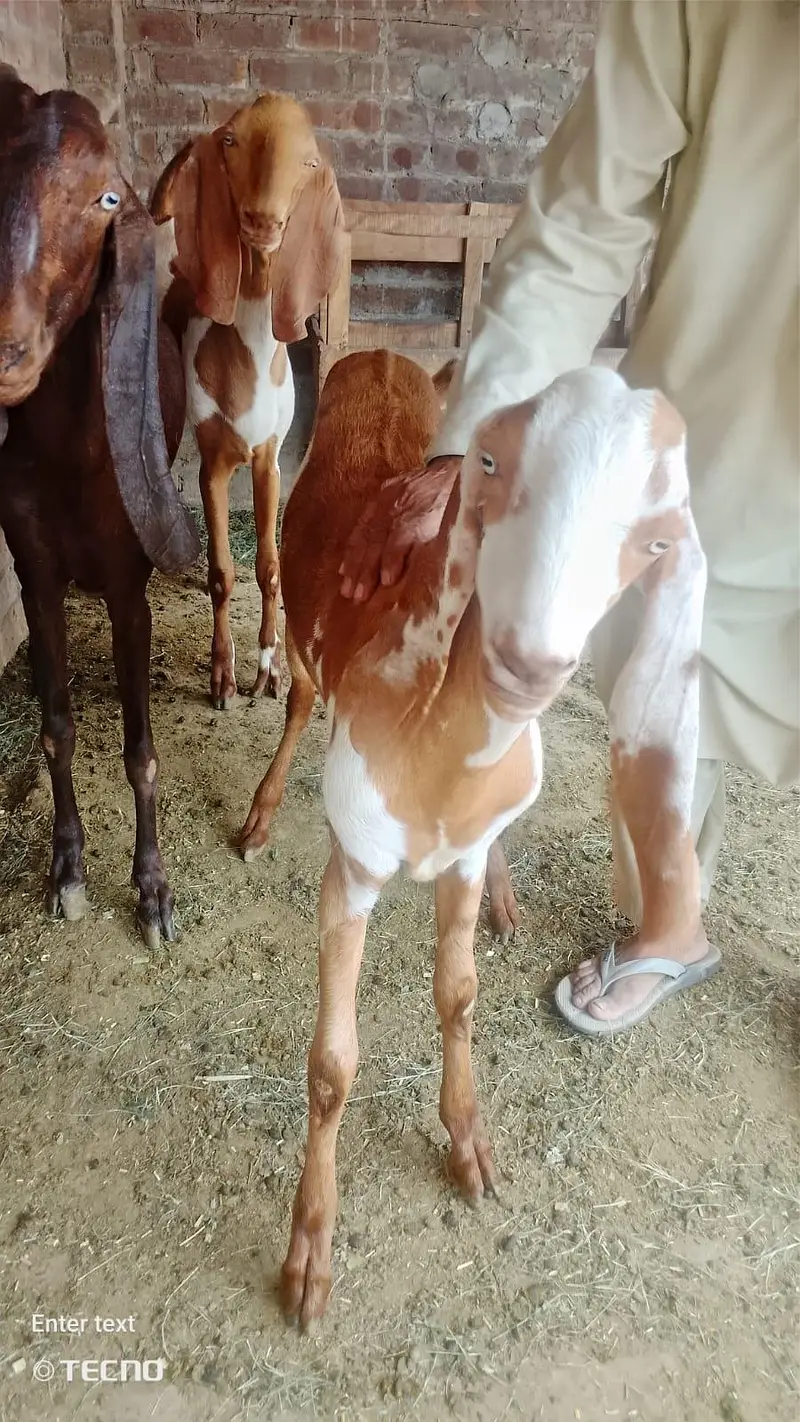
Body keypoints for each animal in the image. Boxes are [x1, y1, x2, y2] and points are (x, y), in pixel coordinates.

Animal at [151, 92, 345, 709]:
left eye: (309, 159)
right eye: (230, 140)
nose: (263, 221)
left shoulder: (269, 459)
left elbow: (269, 566)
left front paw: (270, 668)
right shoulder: (212, 463)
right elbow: (222, 573)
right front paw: (223, 674)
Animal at [248, 350, 706, 1327]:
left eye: (656, 542)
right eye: (491, 465)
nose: (526, 662)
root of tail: (382, 354)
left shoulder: (454, 852)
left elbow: (458, 995)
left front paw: (469, 1148)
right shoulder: (351, 869)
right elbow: (332, 1065)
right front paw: (309, 1257)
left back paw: (503, 895)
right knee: (302, 689)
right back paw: (262, 810)